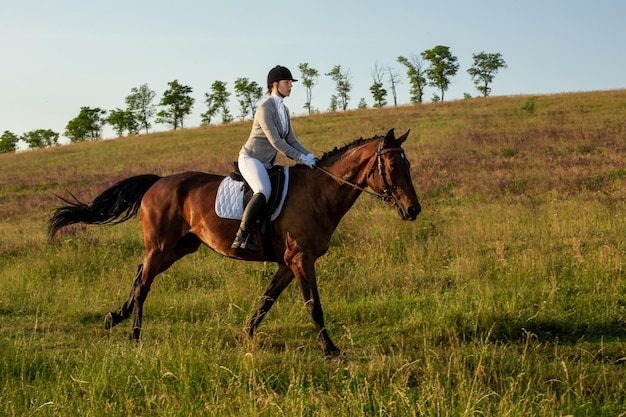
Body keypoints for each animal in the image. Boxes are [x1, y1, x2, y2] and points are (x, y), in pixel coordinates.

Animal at [48, 128, 420, 356]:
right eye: (391, 164)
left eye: (408, 164)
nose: (413, 210)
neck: (318, 193)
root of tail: (157, 182)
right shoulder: (301, 260)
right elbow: (314, 305)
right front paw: (331, 350)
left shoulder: (289, 263)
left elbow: (266, 301)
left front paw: (244, 336)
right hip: (161, 246)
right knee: (143, 284)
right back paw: (134, 334)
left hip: (179, 247)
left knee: (141, 273)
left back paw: (116, 316)